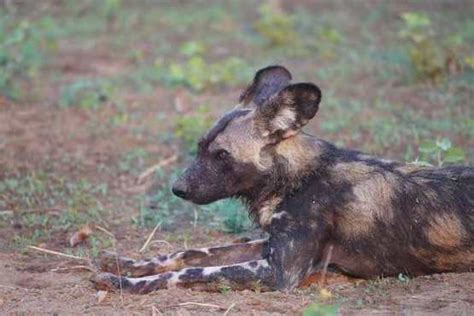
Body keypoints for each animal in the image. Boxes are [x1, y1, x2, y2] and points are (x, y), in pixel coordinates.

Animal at [93, 65, 474, 296]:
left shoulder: (279, 270)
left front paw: (125, 282)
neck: (297, 178)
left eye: (222, 155)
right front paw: (127, 264)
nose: (178, 188)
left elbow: (189, 273)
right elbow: (190, 252)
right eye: (200, 146)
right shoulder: (266, 246)